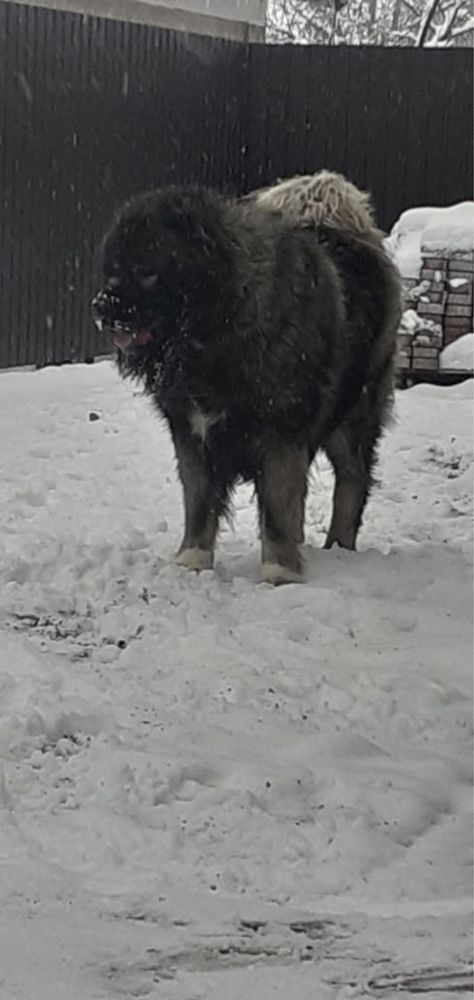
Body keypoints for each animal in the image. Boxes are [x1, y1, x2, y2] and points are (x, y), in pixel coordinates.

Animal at [91, 176, 400, 584]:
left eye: (146, 271)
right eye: (112, 270)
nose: (101, 306)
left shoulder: (280, 435)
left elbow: (278, 509)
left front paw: (280, 571)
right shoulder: (191, 433)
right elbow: (200, 502)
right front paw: (193, 560)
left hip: (353, 416)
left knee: (352, 481)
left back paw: (338, 546)